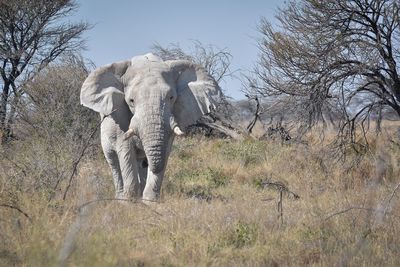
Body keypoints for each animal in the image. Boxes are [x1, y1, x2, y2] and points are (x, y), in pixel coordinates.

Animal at [79, 54, 220, 203]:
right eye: (131, 101)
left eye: (171, 97)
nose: (149, 164)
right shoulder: (120, 117)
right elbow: (126, 151)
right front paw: (128, 203)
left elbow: (164, 152)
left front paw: (149, 203)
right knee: (114, 162)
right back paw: (120, 197)